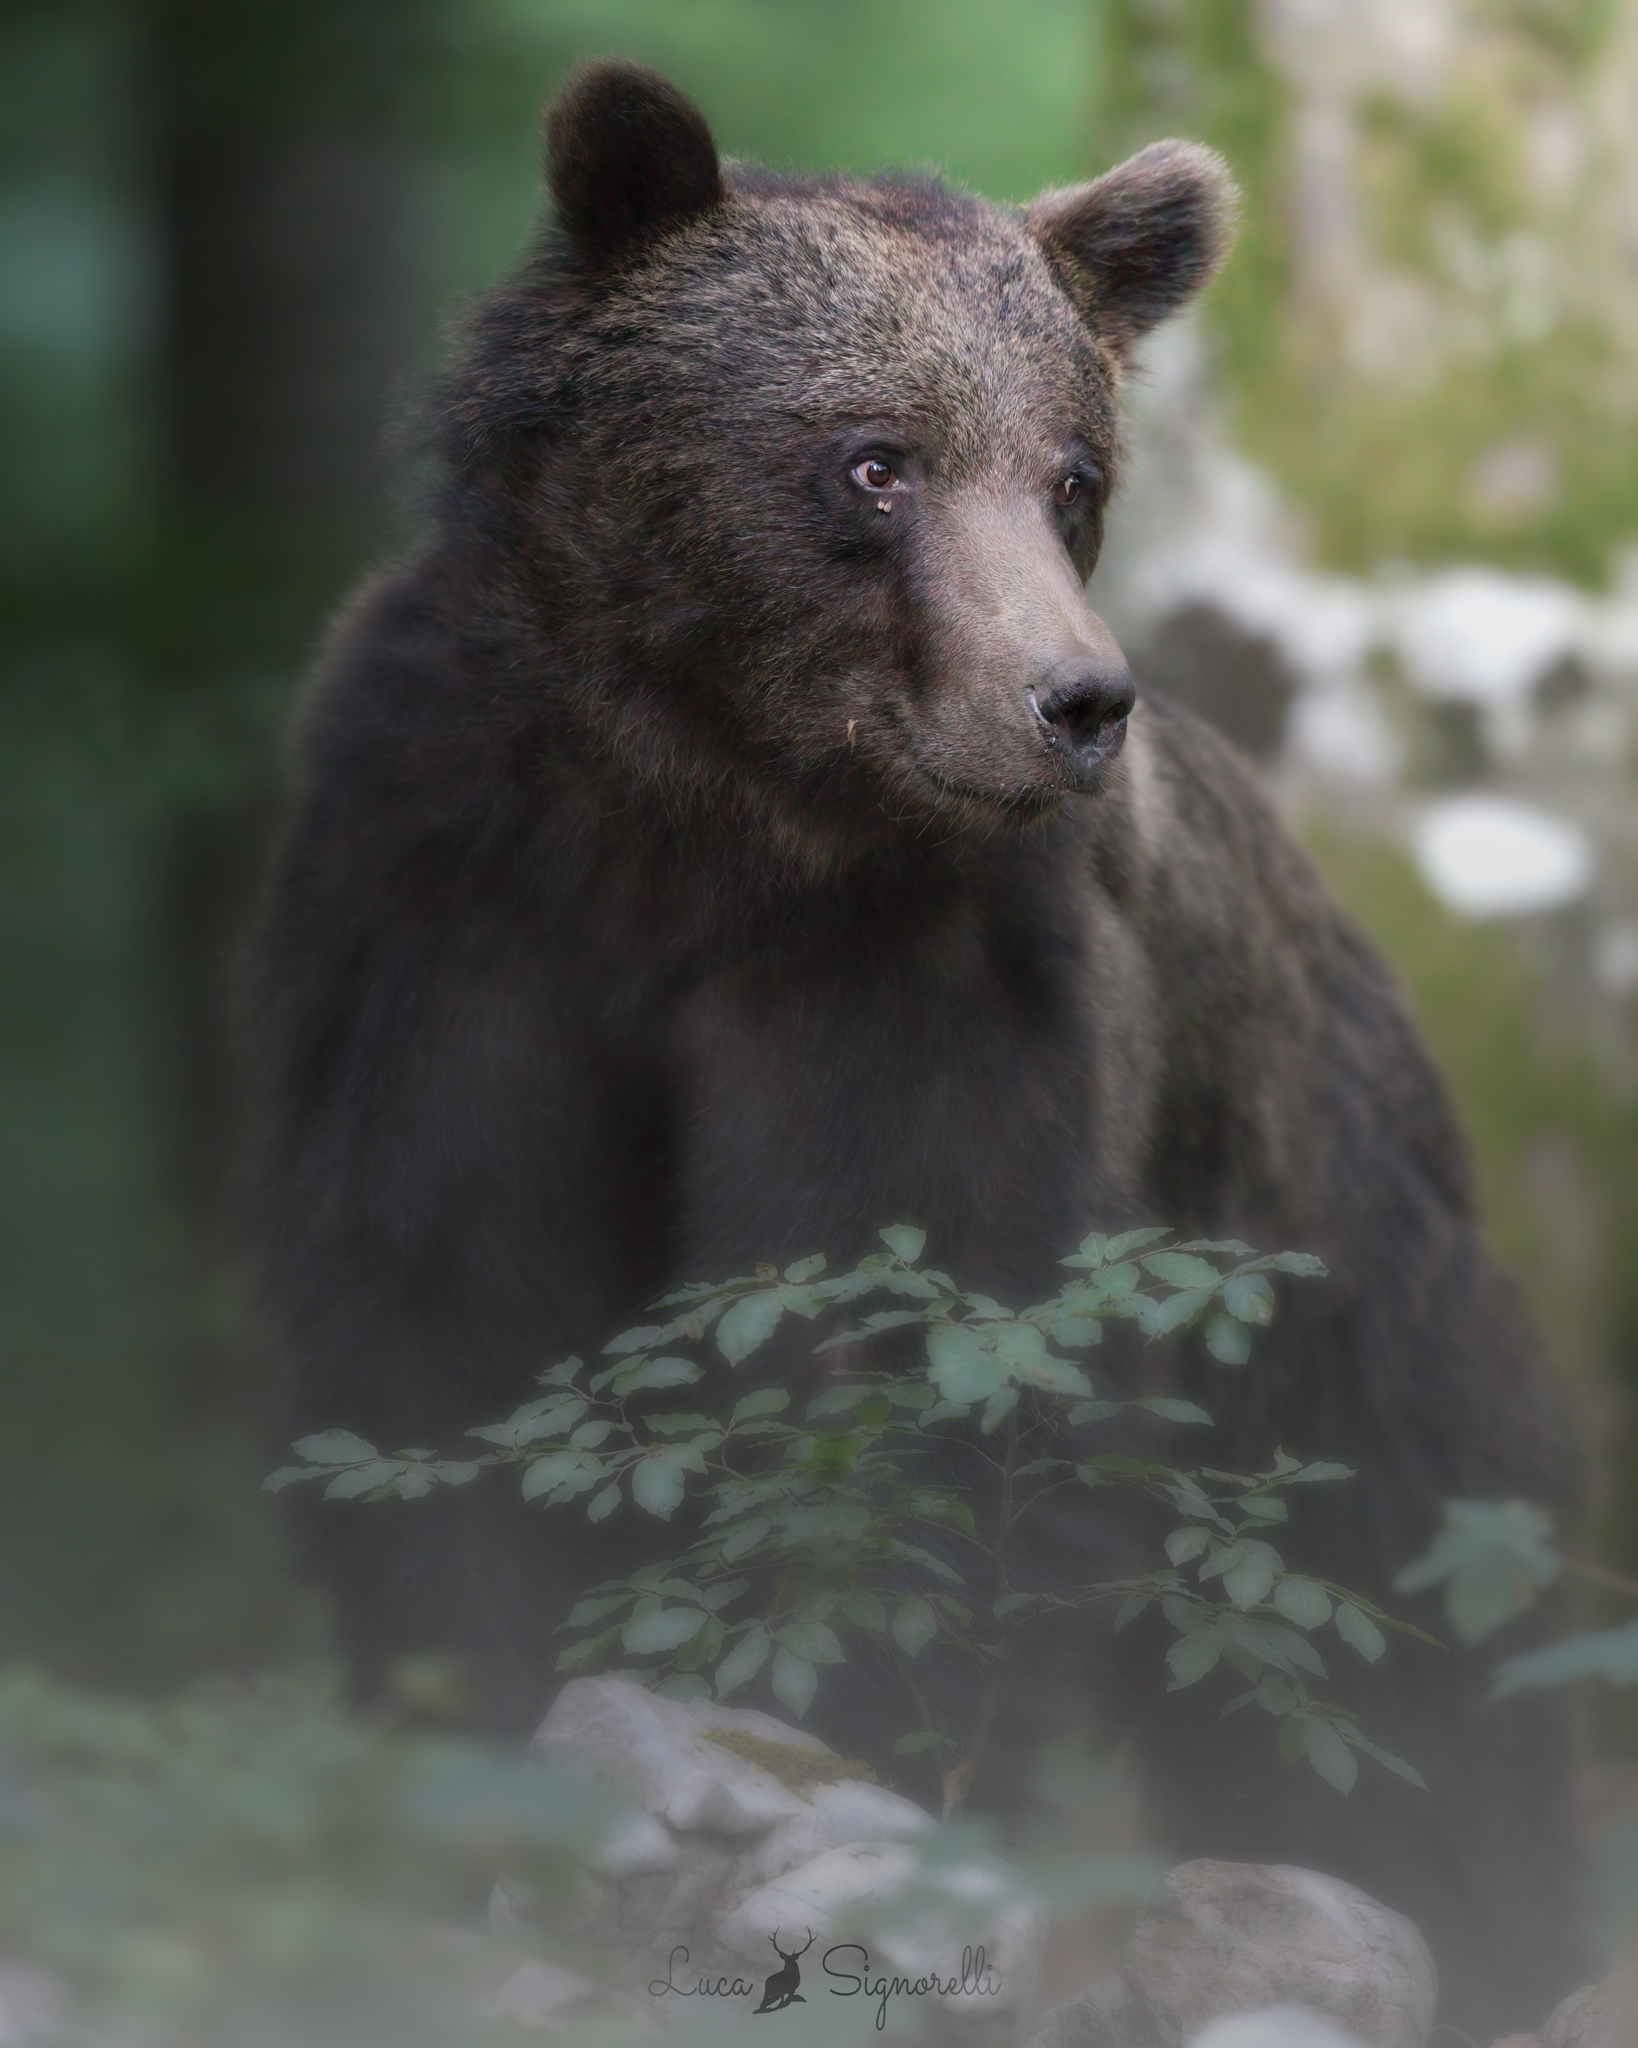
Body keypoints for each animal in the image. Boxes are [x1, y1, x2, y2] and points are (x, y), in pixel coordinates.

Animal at [248, 59, 1583, 2033]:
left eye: (1071, 474)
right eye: (871, 457)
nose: (1073, 701)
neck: (698, 814)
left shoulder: (925, 983)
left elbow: (905, 1376)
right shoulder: (447, 910)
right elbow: (444, 1327)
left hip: (1320, 1264)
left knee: (1407, 1625)